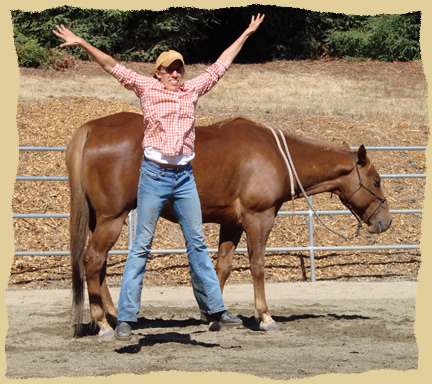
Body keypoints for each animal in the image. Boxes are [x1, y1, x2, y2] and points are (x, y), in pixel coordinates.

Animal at [66, 112, 392, 338]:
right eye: (376, 180)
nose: (385, 221)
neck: (275, 155)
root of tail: (91, 129)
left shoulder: (231, 224)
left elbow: (221, 267)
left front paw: (214, 315)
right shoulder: (259, 218)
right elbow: (257, 266)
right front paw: (265, 317)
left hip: (100, 220)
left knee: (99, 265)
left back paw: (111, 315)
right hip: (112, 218)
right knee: (92, 260)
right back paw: (103, 324)